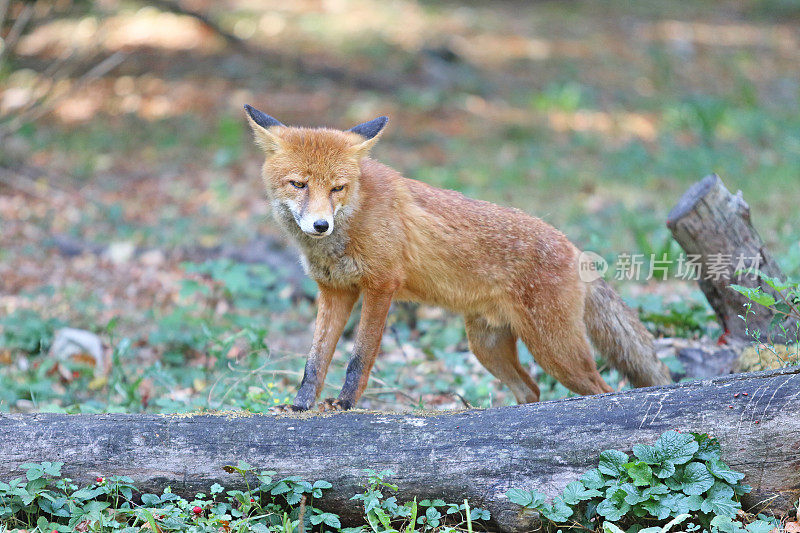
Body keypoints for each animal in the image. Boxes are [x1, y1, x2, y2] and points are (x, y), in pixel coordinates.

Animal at [244, 105, 668, 412]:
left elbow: (358, 358)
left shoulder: (381, 286)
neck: (355, 214)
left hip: (557, 351)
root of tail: (573, 248)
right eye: (299, 184)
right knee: (531, 391)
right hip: (487, 347)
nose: (320, 225)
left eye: (337, 188)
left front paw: (345, 403)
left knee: (602, 388)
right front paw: (300, 405)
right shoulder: (335, 290)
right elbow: (314, 360)